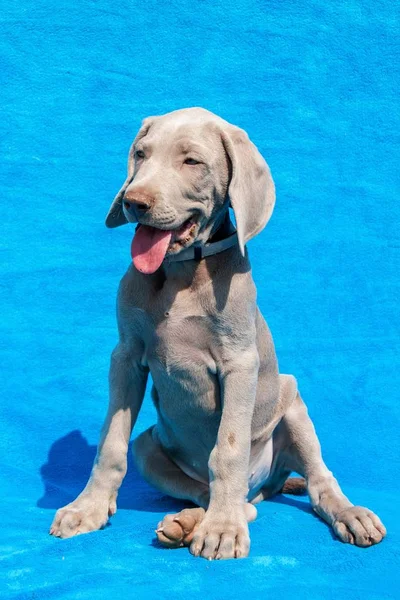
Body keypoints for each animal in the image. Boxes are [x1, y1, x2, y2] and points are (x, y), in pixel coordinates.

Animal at [48, 106, 386, 556]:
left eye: (192, 162)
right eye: (140, 154)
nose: (135, 203)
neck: (182, 271)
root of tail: (265, 484)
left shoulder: (239, 362)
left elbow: (227, 449)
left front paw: (223, 529)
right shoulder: (126, 356)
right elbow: (111, 443)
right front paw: (87, 508)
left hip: (292, 401)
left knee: (315, 481)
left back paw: (343, 514)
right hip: (149, 446)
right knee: (215, 494)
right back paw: (186, 523)